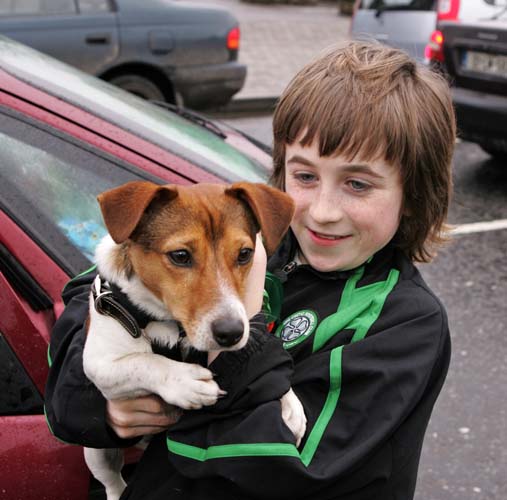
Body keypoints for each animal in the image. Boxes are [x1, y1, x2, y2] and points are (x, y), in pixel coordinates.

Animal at [82, 182, 308, 500]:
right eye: (180, 255)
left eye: (245, 254)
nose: (232, 332)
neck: (171, 325)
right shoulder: (100, 364)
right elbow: (144, 361)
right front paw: (185, 381)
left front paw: (290, 401)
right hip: (98, 453)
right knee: (113, 481)